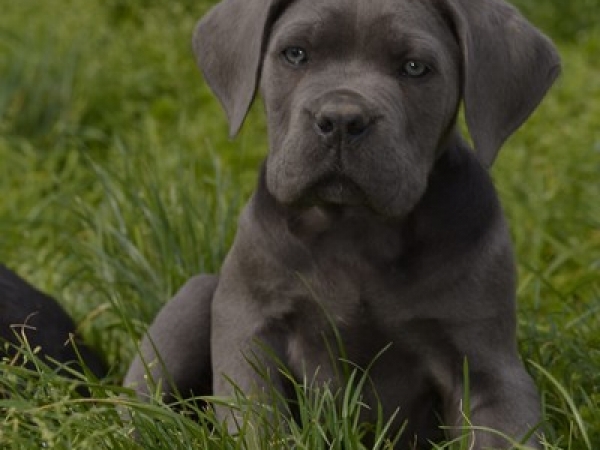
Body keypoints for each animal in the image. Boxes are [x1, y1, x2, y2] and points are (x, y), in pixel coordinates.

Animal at [124, 0, 560, 446]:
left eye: (415, 67)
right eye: (295, 53)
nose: (341, 119)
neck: (354, 227)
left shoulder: (487, 365)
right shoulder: (249, 326)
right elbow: (260, 421)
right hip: (195, 299)